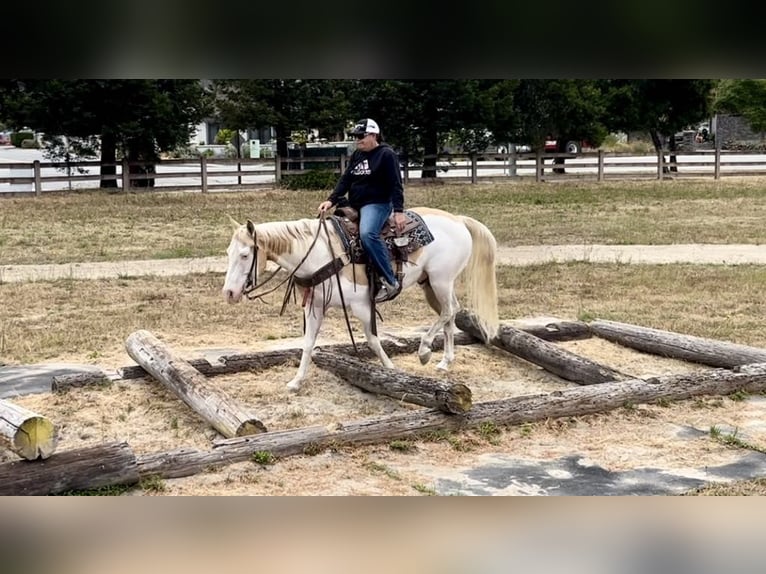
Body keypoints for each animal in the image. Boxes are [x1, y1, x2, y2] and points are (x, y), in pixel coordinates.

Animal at [222, 206, 500, 392]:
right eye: (228, 253)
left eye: (245, 255)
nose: (229, 293)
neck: (321, 254)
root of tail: (458, 220)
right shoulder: (315, 307)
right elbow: (308, 344)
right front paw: (296, 381)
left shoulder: (362, 306)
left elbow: (373, 340)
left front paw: (391, 370)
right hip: (432, 284)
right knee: (451, 313)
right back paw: (444, 362)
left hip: (441, 280)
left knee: (448, 312)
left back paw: (424, 350)